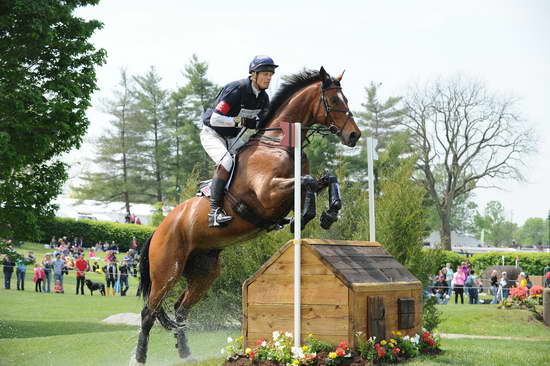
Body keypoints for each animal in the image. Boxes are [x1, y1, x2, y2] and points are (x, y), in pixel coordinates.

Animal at [132, 67, 364, 364]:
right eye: (334, 100)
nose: (354, 135)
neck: (278, 144)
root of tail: (158, 230)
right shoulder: (268, 192)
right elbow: (309, 181)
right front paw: (309, 215)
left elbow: (323, 178)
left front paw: (329, 213)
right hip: (166, 271)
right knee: (148, 313)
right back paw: (139, 357)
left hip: (204, 272)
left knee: (181, 309)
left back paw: (186, 353)